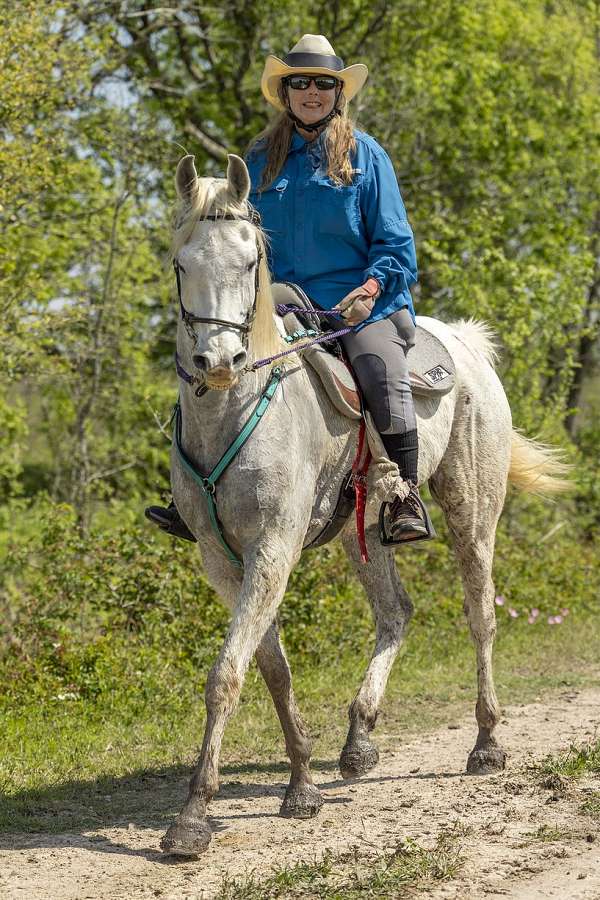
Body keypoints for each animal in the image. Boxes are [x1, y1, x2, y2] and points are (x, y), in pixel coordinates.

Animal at [161, 155, 568, 856]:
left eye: (249, 261)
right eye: (184, 262)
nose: (220, 360)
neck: (234, 412)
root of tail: (464, 342)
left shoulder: (272, 549)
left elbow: (228, 673)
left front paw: (192, 817)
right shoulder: (223, 559)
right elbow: (272, 667)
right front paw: (302, 784)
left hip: (471, 513)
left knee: (481, 616)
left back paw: (487, 744)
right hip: (369, 532)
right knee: (396, 612)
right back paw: (358, 739)